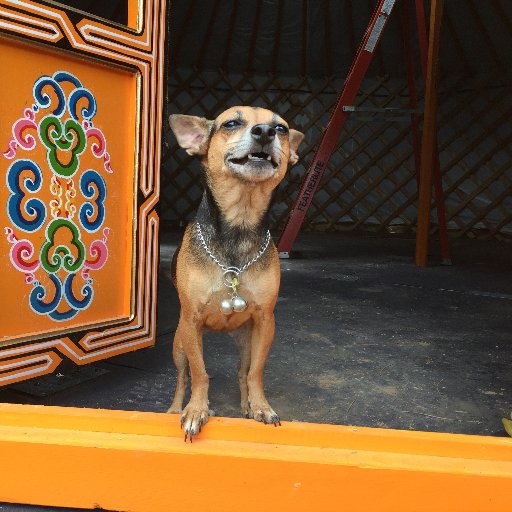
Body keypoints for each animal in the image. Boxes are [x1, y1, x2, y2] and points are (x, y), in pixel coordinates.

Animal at [168, 107, 304, 440]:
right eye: (231, 123)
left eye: (281, 129)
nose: (265, 131)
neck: (238, 228)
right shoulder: (191, 321)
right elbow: (200, 373)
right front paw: (196, 411)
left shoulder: (266, 321)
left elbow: (256, 372)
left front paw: (261, 407)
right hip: (179, 343)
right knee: (182, 375)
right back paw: (176, 407)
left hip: (247, 339)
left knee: (243, 370)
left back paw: (247, 406)